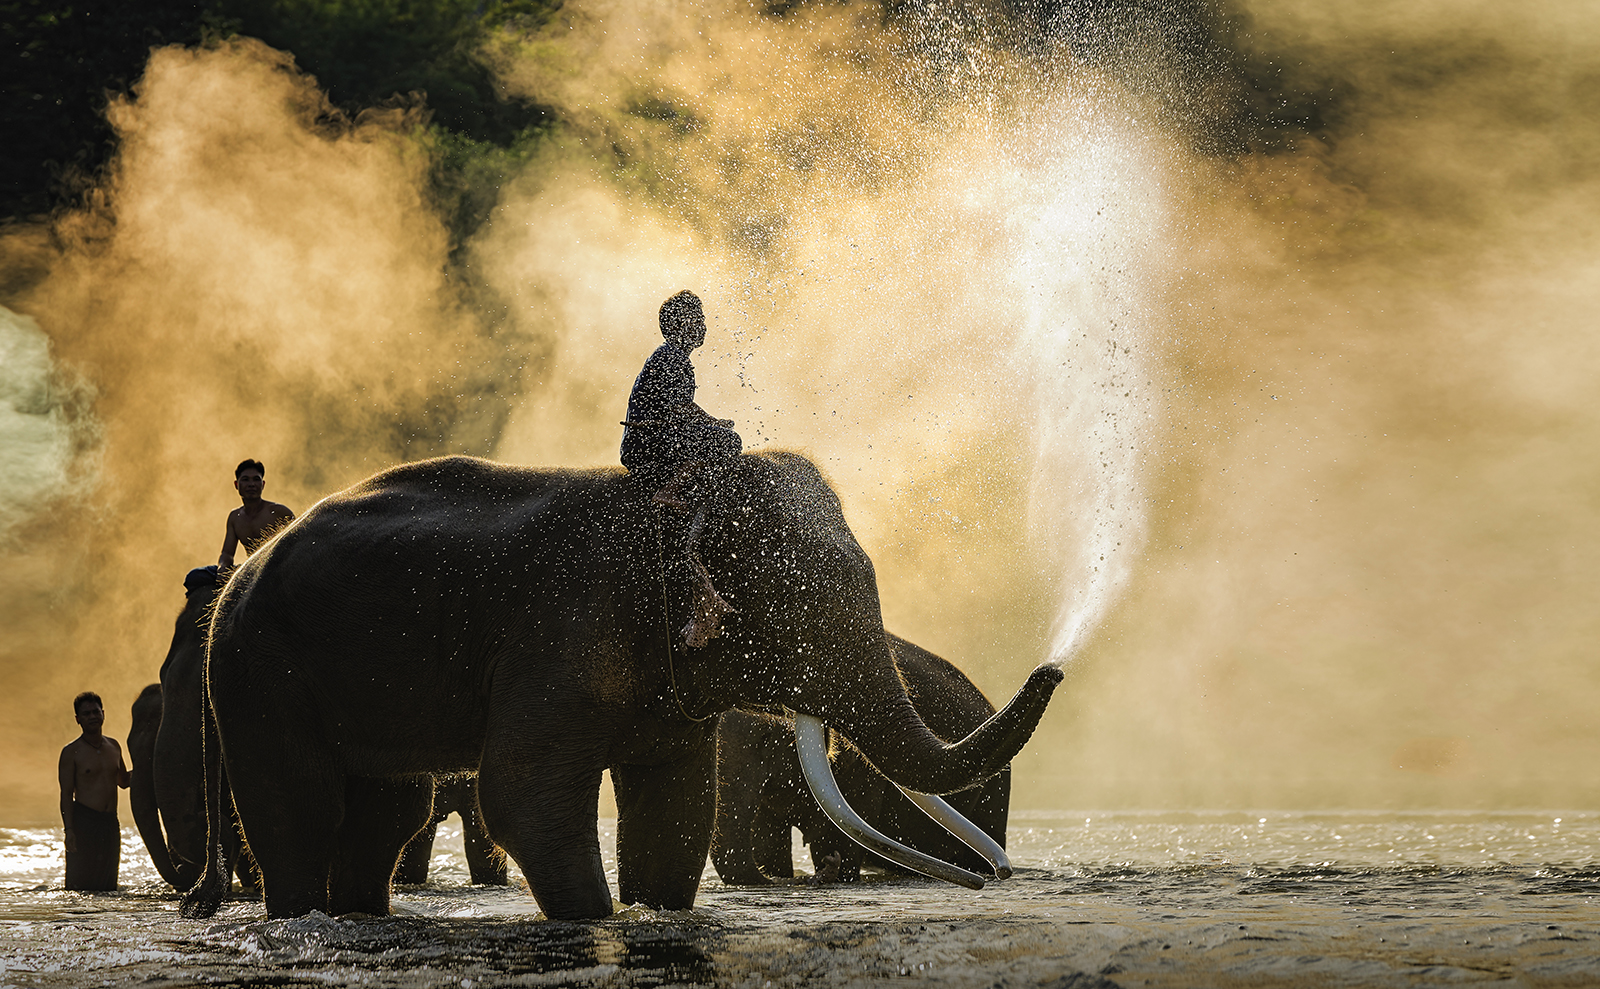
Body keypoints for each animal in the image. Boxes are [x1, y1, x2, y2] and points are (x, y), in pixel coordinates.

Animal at [716, 636, 1011, 883]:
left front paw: (834, 864)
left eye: (765, 740)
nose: (827, 867)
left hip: (995, 791)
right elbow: (767, 841)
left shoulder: (861, 772)